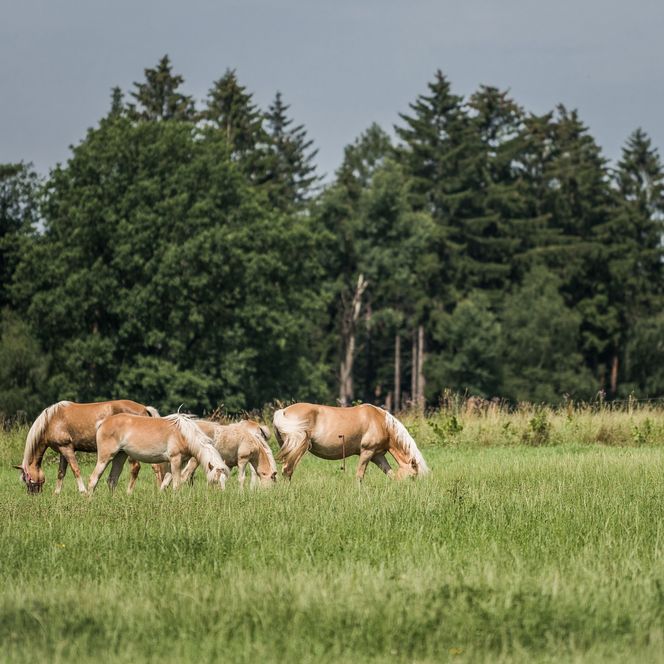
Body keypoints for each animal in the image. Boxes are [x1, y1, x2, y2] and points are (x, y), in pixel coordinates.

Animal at [14, 399, 160, 494]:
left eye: (27, 479)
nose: (33, 494)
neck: (51, 420)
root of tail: (143, 408)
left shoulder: (67, 448)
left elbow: (75, 470)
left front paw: (83, 491)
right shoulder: (62, 451)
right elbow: (61, 472)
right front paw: (57, 494)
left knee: (136, 468)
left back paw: (129, 493)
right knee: (156, 467)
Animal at [88, 413, 229, 493]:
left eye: (224, 481)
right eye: (215, 481)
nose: (220, 496)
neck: (184, 434)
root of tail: (103, 422)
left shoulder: (180, 462)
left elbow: (165, 483)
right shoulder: (175, 460)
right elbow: (176, 484)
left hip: (120, 457)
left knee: (112, 481)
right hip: (105, 457)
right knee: (93, 479)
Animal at [272, 403, 430, 481]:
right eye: (413, 476)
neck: (381, 422)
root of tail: (283, 411)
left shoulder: (377, 456)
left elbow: (390, 474)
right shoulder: (367, 452)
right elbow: (359, 475)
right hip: (298, 449)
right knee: (287, 471)